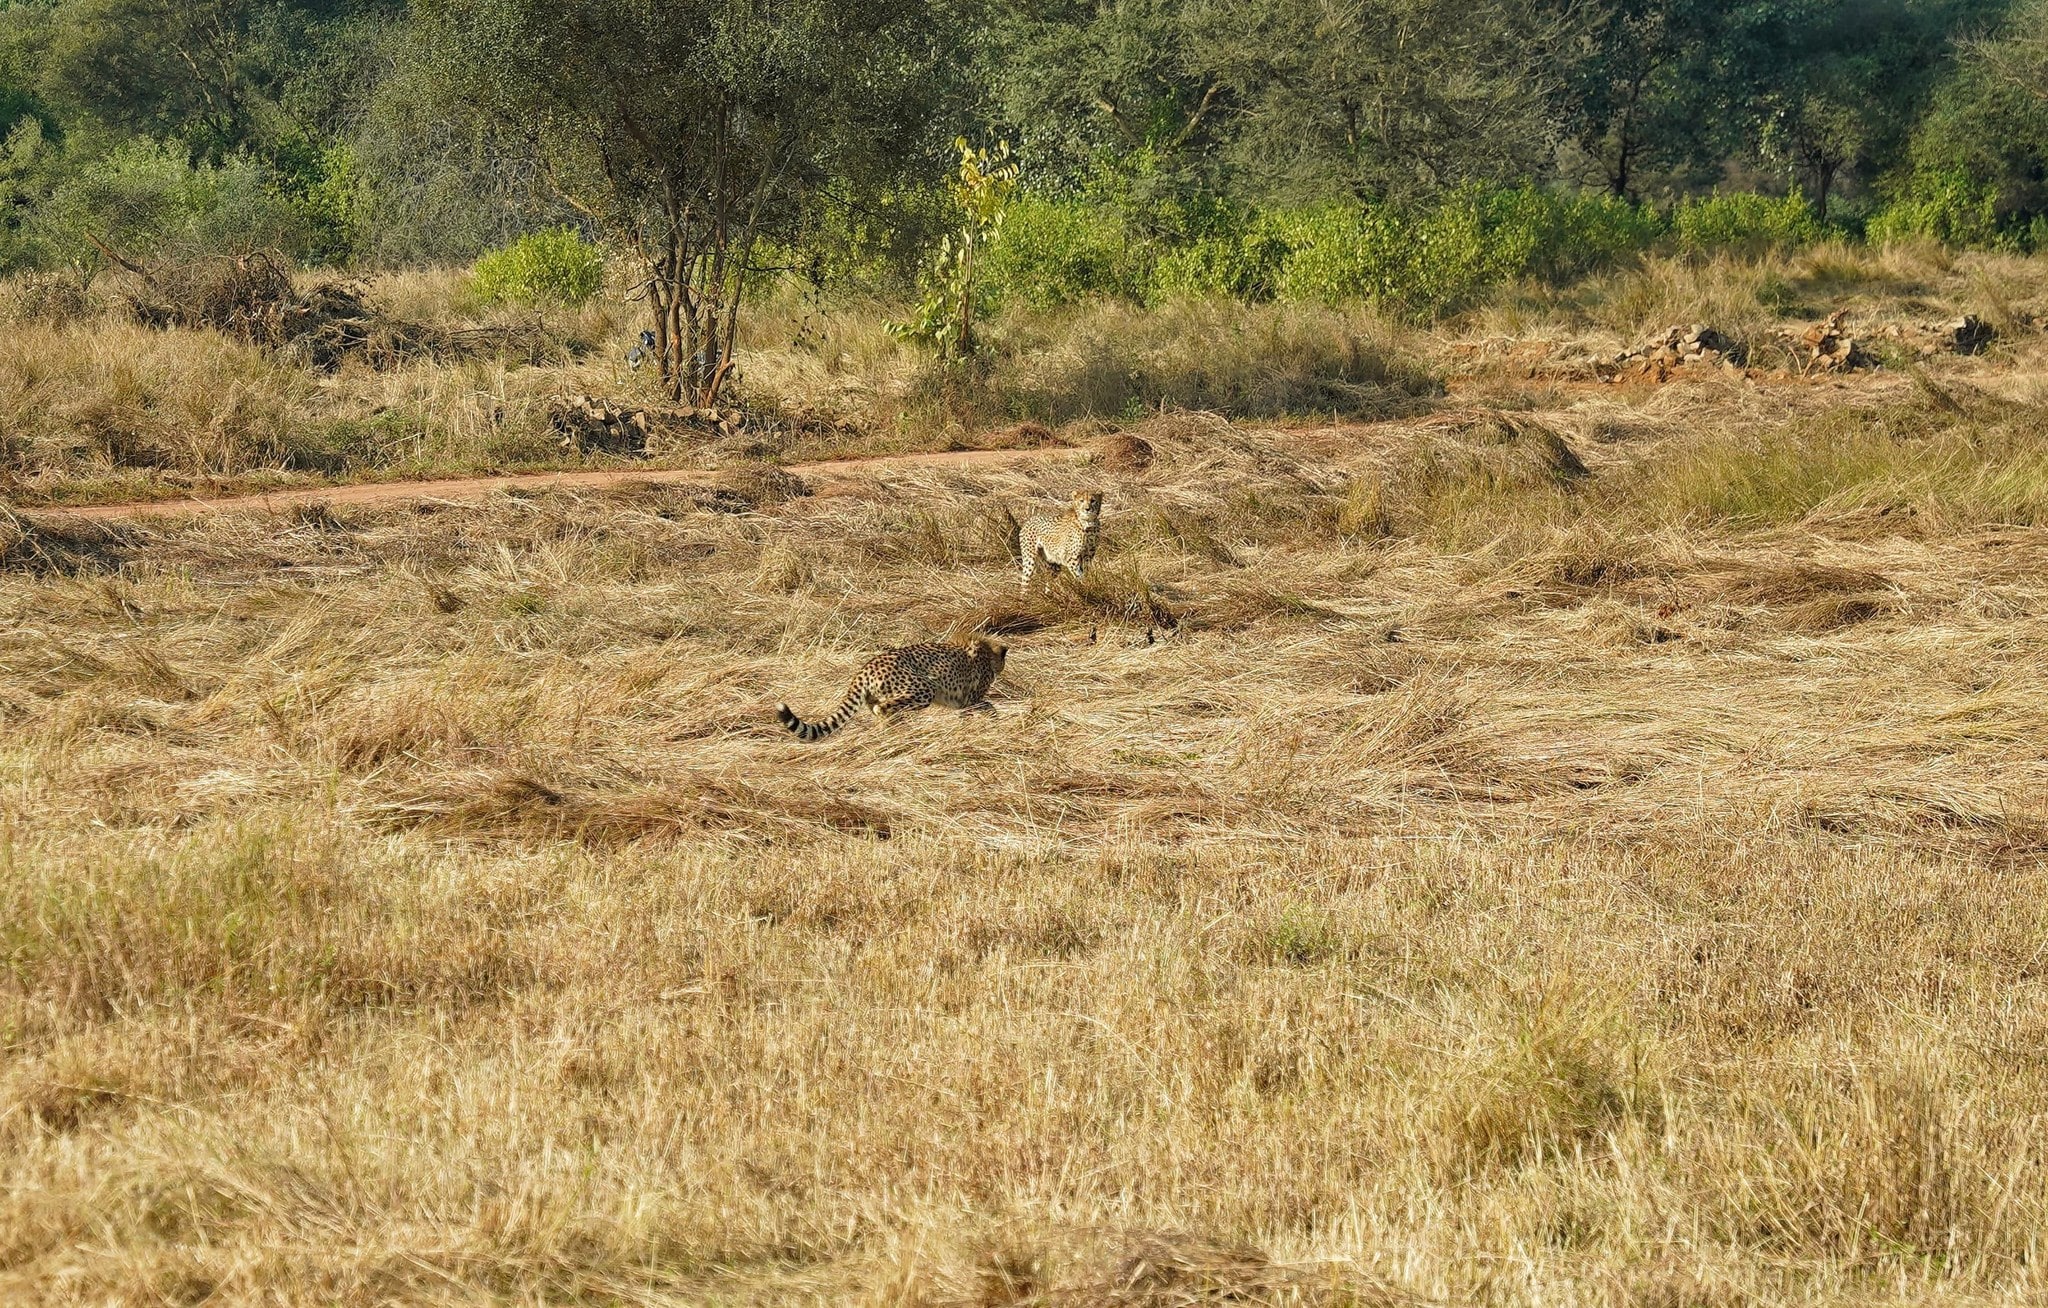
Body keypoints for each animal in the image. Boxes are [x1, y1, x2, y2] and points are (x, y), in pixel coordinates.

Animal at [775, 637, 1008, 741]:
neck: (987, 651)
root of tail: (865, 668)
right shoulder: (970, 700)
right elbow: (988, 705)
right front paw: (993, 722)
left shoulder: (963, 704)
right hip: (924, 688)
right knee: (884, 709)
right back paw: (895, 731)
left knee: (884, 711)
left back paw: (892, 732)